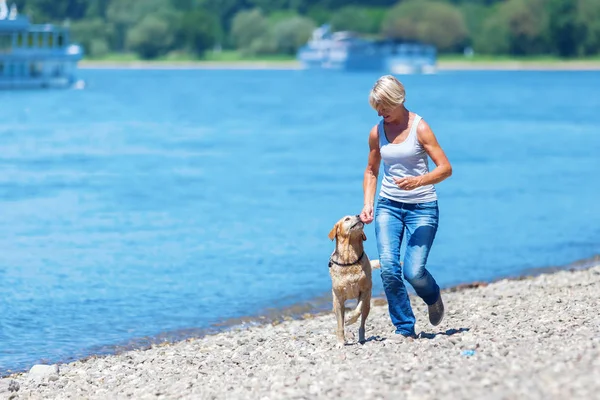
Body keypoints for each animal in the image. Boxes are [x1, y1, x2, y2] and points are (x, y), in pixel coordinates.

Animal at [328, 214, 380, 346]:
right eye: (347, 219)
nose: (358, 215)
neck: (350, 260)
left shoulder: (364, 291)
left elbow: (357, 310)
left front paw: (350, 319)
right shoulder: (338, 300)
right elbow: (340, 325)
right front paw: (341, 342)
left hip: (368, 303)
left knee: (362, 322)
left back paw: (361, 337)